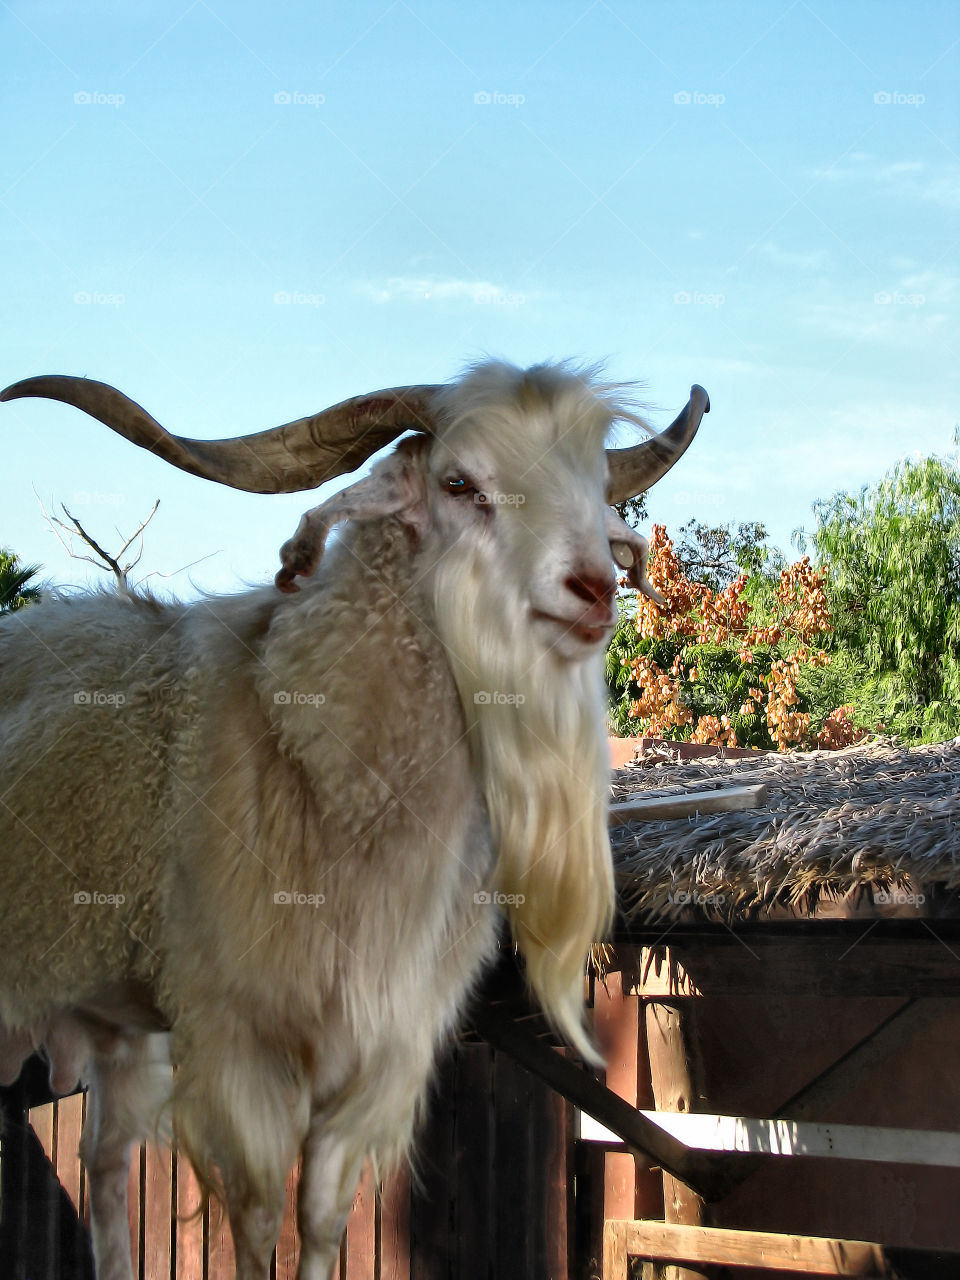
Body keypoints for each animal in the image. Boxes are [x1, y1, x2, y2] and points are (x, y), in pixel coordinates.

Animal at [0, 360, 707, 1279]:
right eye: (460, 483)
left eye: (591, 483)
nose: (593, 588)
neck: (311, 755)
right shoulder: (239, 1041)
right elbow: (259, 1222)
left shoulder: (382, 1055)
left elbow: (325, 1216)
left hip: (118, 1030)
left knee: (107, 1166)